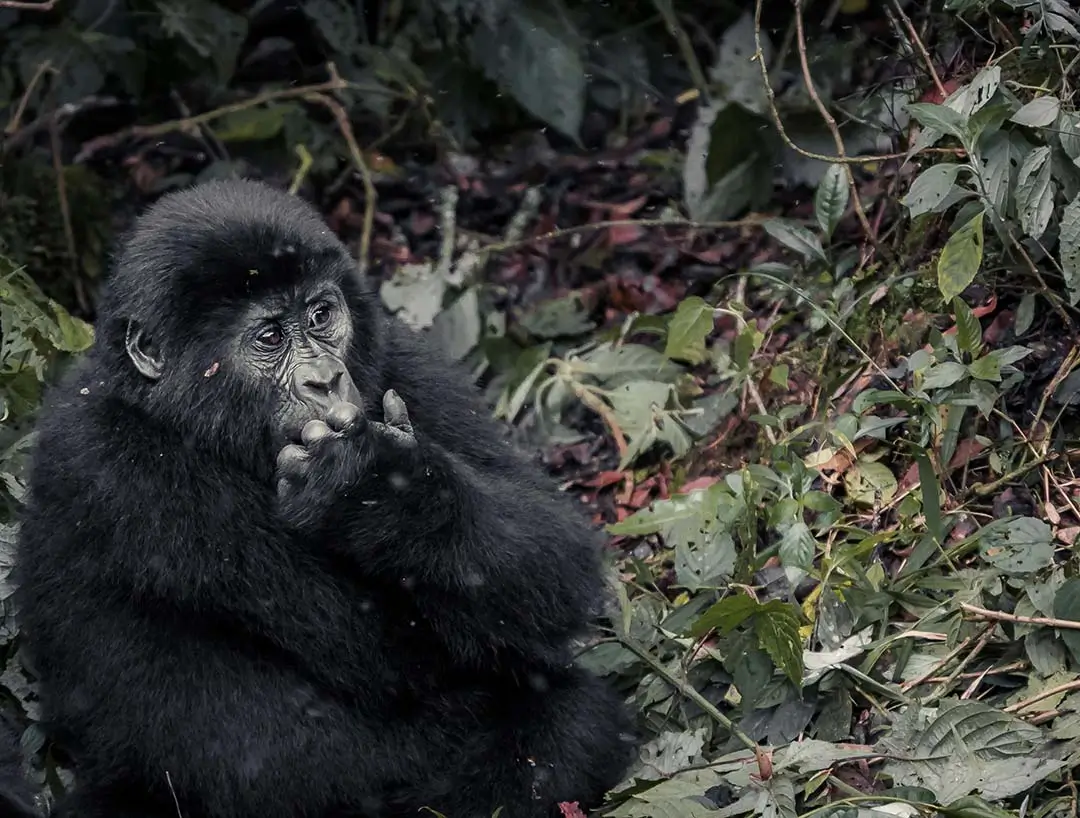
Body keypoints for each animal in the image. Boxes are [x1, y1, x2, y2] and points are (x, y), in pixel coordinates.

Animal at [4, 180, 635, 816]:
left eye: (320, 315)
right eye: (269, 337)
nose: (326, 380)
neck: (169, 413)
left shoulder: (402, 356)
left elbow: (555, 552)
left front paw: (384, 490)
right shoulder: (117, 463)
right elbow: (384, 650)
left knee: (572, 722)